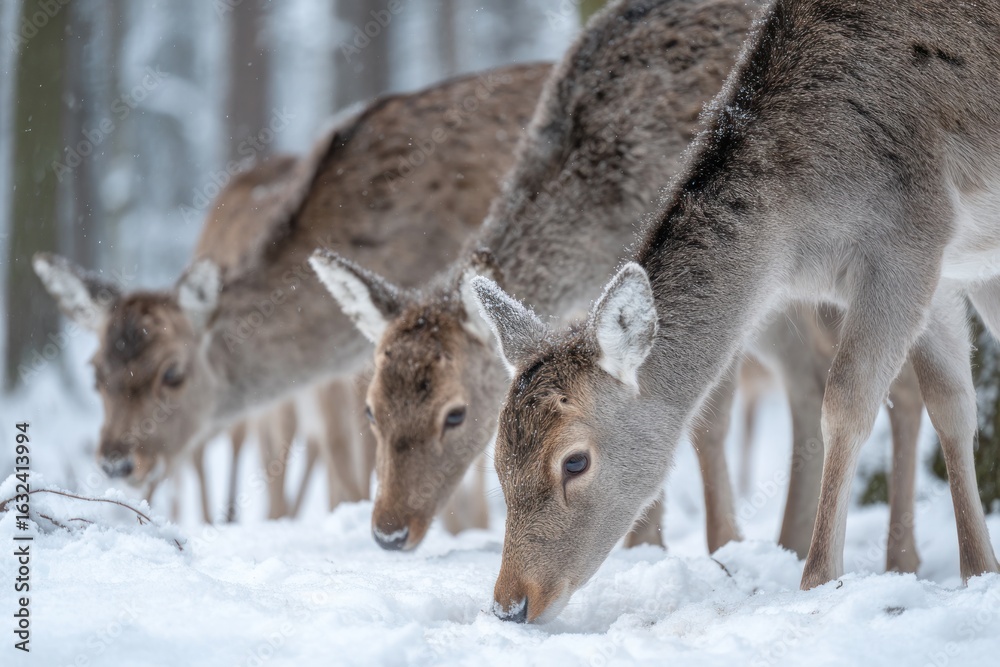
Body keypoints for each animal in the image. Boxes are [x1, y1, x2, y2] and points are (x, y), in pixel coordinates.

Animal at [310, 0, 925, 566]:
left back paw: (899, 559)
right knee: (814, 379)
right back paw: (795, 544)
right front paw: (650, 546)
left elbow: (704, 422)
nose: (389, 531)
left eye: (455, 413)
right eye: (371, 409)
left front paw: (710, 547)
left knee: (896, 382)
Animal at [471, 0, 1000, 623]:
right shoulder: (945, 267)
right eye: (498, 463)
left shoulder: (909, 239)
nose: (510, 604)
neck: (803, 235)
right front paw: (980, 571)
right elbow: (953, 404)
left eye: (574, 461)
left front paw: (818, 580)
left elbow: (846, 402)